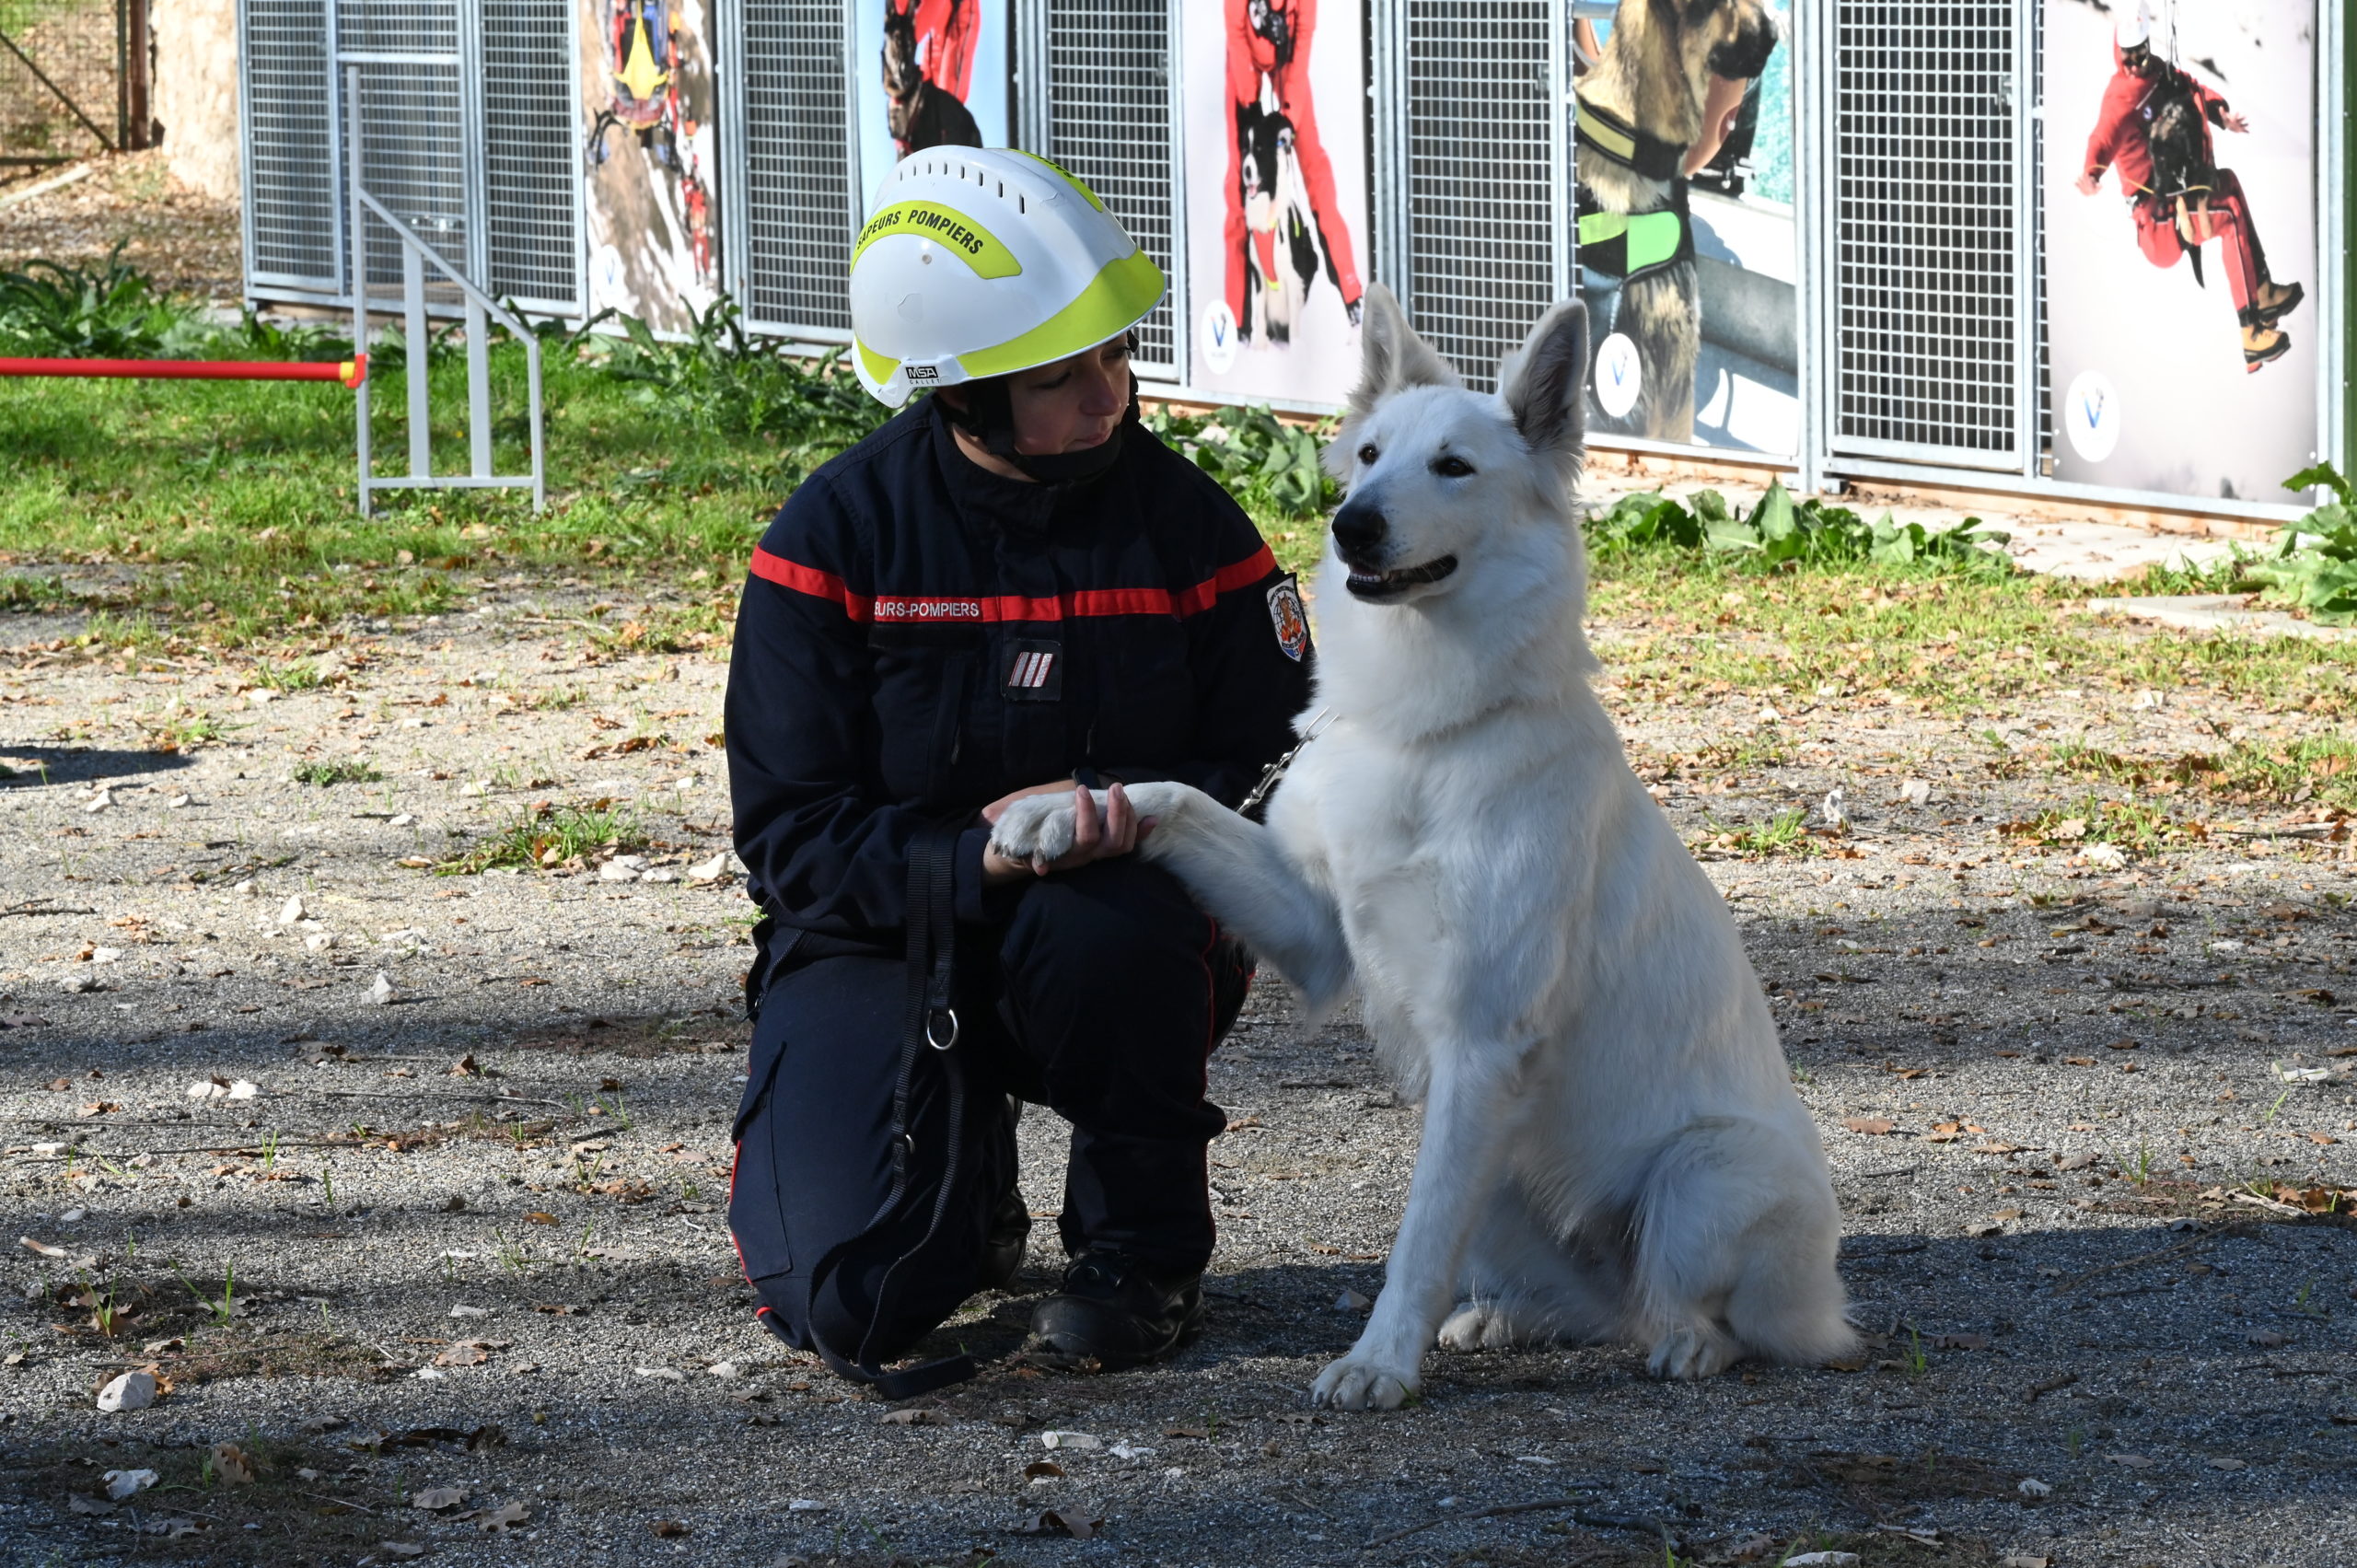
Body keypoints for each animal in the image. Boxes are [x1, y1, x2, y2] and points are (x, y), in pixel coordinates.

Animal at [985, 284, 1848, 1405]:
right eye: (1368, 456)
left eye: (1454, 467)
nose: (1352, 524)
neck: (1423, 729)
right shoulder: (1319, 930)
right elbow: (1173, 796)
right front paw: (1061, 809)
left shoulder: (1478, 1046)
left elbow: (1415, 1241)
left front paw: (1378, 1360)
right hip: (1507, 1180)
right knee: (1600, 1307)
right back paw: (1513, 1319)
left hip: (1696, 1178)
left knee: (1713, 1316)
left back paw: (1692, 1343)